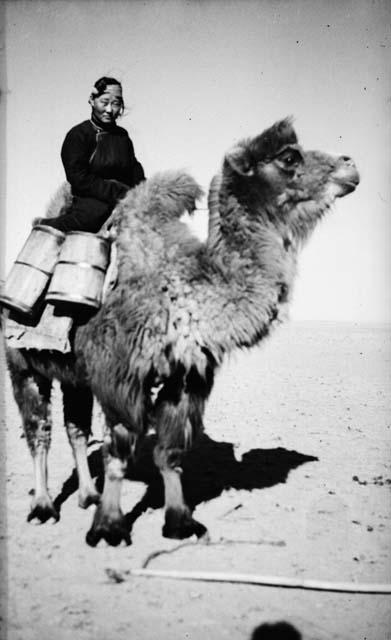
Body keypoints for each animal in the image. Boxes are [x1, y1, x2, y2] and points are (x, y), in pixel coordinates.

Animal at [5, 119, 362, 544]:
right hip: (22, 362)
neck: (184, 291)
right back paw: (44, 507)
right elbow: (118, 454)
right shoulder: (118, 376)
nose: (350, 164)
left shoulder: (186, 377)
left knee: (74, 427)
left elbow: (170, 453)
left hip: (73, 372)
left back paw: (87, 496)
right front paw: (109, 528)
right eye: (289, 157)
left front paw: (180, 522)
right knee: (38, 430)